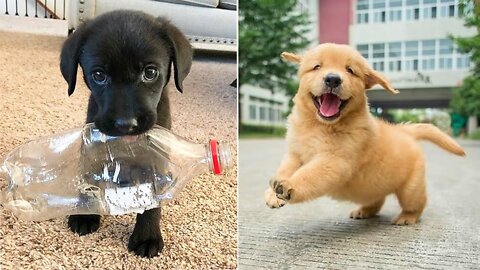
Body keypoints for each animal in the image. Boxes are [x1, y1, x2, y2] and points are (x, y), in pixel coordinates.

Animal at [59, 10, 193, 258]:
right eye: (99, 75)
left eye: (150, 72)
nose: (125, 124)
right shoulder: (92, 148)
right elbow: (88, 180)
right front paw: (85, 214)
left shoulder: (155, 159)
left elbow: (152, 201)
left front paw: (147, 236)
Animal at [264, 43, 466, 225]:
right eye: (317, 67)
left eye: (350, 70)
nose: (333, 79)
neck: (319, 126)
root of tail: (403, 130)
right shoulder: (295, 153)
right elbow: (284, 169)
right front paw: (272, 194)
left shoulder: (335, 162)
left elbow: (309, 175)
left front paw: (289, 186)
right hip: (372, 188)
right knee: (378, 199)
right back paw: (365, 211)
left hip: (411, 188)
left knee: (417, 203)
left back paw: (407, 218)